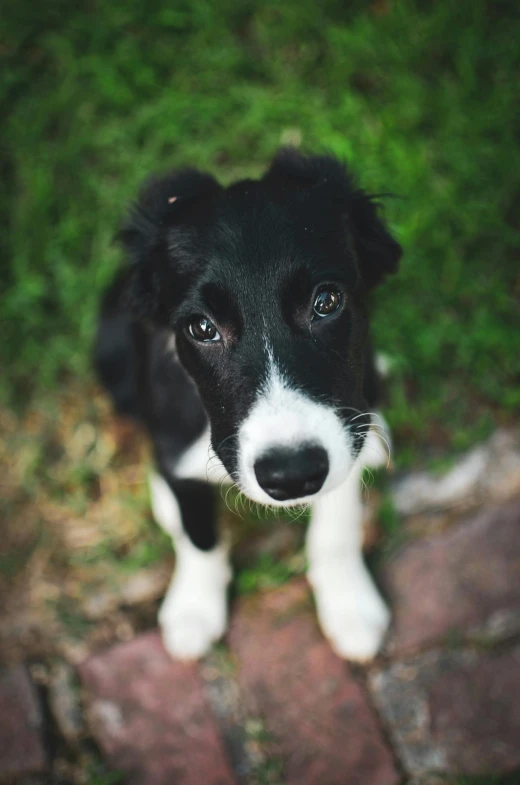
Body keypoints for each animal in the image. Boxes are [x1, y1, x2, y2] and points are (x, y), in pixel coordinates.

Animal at [94, 147, 402, 660]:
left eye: (327, 301)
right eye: (201, 327)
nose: (293, 474)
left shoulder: (345, 432)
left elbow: (337, 524)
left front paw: (349, 603)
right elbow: (199, 534)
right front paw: (194, 608)